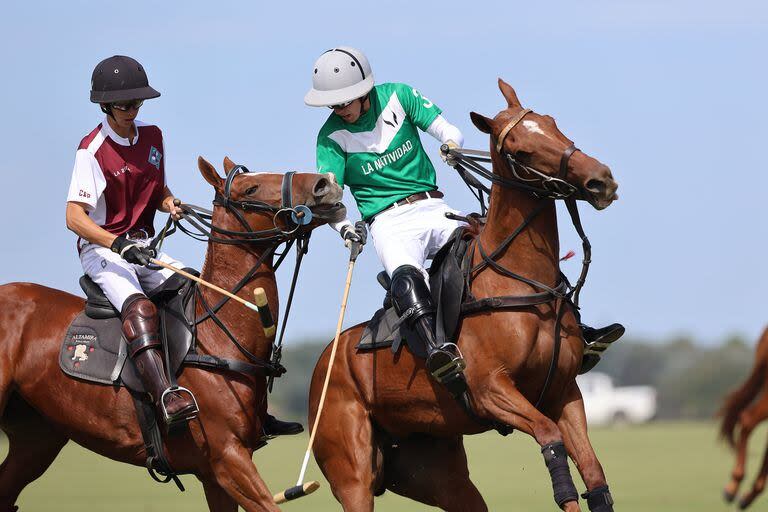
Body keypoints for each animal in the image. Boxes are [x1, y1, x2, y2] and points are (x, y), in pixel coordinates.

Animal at [0, 158, 342, 510]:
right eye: (250, 188)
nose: (325, 183)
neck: (217, 336)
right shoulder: (227, 458)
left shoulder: (215, 475)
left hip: (37, 436)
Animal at [308, 80, 620, 512]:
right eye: (520, 151)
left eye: (552, 123)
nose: (600, 180)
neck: (520, 284)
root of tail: (323, 362)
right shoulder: (492, 391)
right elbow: (554, 452)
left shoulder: (564, 391)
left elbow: (593, 474)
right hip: (351, 476)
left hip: (438, 472)